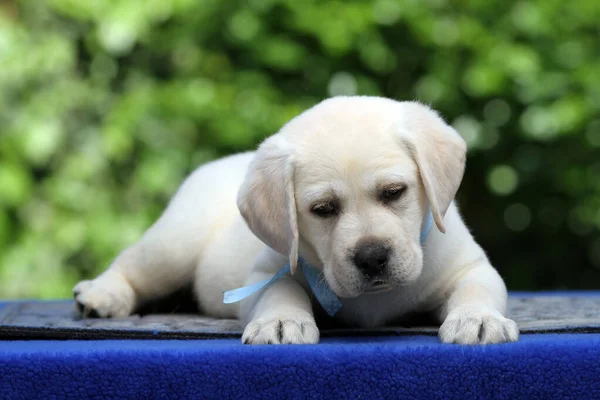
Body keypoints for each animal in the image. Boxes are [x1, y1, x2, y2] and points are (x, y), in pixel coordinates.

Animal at [72, 96, 516, 344]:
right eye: (323, 209)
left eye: (394, 192)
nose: (372, 257)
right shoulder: (264, 272)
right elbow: (280, 291)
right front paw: (282, 322)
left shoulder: (470, 267)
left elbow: (476, 289)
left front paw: (478, 320)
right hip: (173, 245)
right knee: (131, 265)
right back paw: (101, 295)